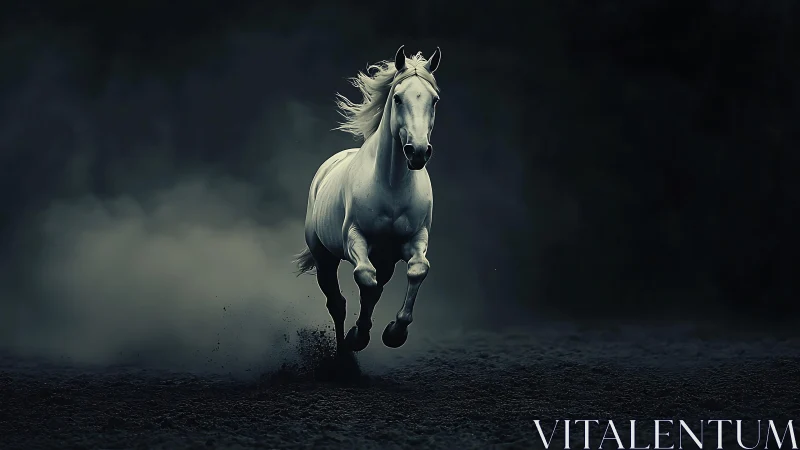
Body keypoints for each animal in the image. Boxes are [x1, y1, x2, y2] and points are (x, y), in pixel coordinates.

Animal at [293, 45, 442, 353]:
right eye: (397, 98)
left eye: (434, 100)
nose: (418, 151)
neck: (392, 185)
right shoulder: (355, 238)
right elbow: (364, 278)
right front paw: (358, 337)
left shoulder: (416, 238)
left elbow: (417, 270)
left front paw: (394, 333)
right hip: (324, 257)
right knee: (337, 303)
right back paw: (344, 351)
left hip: (385, 260)